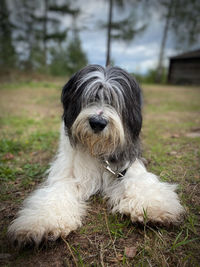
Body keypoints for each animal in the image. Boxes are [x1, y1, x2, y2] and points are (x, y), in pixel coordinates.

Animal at [7, 65, 184, 247]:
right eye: (90, 97)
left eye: (113, 100)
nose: (97, 123)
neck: (98, 149)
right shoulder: (68, 173)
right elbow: (57, 191)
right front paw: (42, 222)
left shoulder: (128, 164)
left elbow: (140, 181)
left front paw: (153, 206)